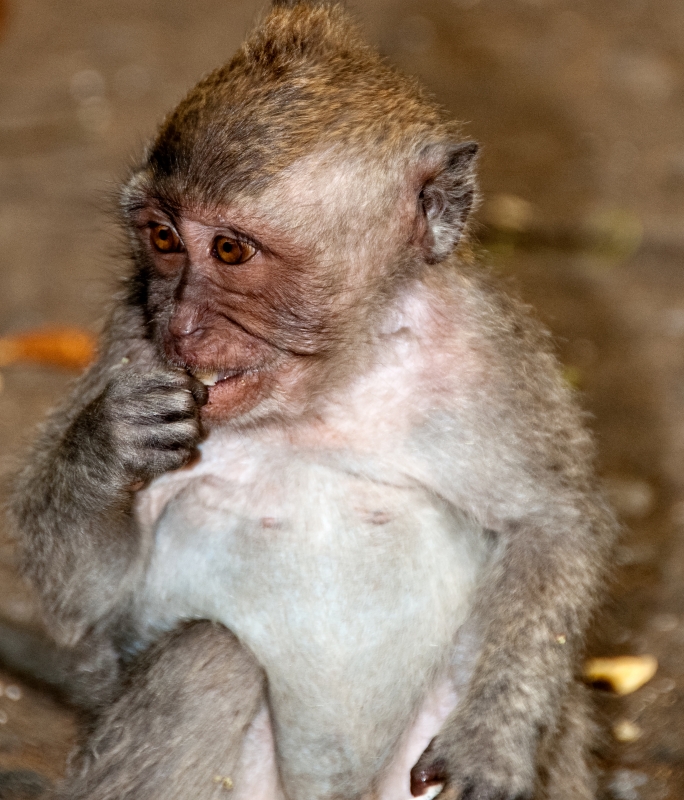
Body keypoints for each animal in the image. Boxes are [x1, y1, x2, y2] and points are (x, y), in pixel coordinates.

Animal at [10, 1, 616, 800]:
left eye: (230, 251)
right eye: (163, 238)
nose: (180, 326)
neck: (322, 393)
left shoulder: (487, 355)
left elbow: (549, 525)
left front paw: (493, 739)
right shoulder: (127, 343)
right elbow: (90, 607)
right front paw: (110, 440)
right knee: (207, 661)